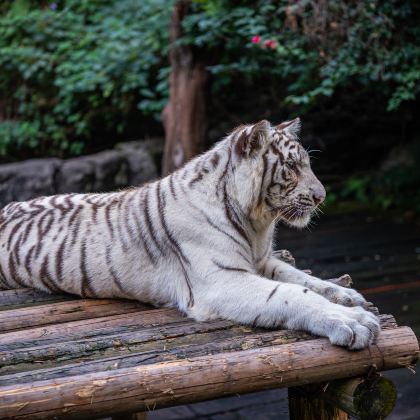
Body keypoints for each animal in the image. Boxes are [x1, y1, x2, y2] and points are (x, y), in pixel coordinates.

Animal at [0, 117, 380, 348]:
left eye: (308, 163)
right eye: (291, 167)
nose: (321, 196)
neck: (256, 222)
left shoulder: (261, 261)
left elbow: (303, 278)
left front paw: (347, 296)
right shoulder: (221, 281)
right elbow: (292, 294)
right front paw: (353, 322)